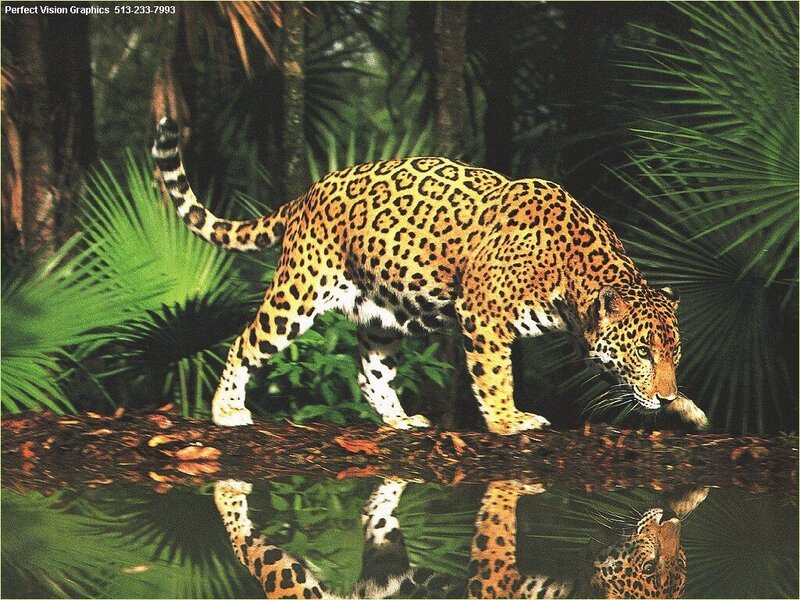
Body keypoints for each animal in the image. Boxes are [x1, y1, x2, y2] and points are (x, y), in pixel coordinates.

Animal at [152, 117, 708, 434]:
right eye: (643, 353)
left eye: (674, 354)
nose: (664, 394)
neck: (572, 279)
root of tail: (307, 193)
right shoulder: (484, 316)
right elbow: (496, 376)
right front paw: (508, 420)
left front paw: (686, 408)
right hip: (299, 293)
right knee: (245, 342)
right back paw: (226, 409)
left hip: (380, 315)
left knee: (370, 373)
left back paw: (400, 421)